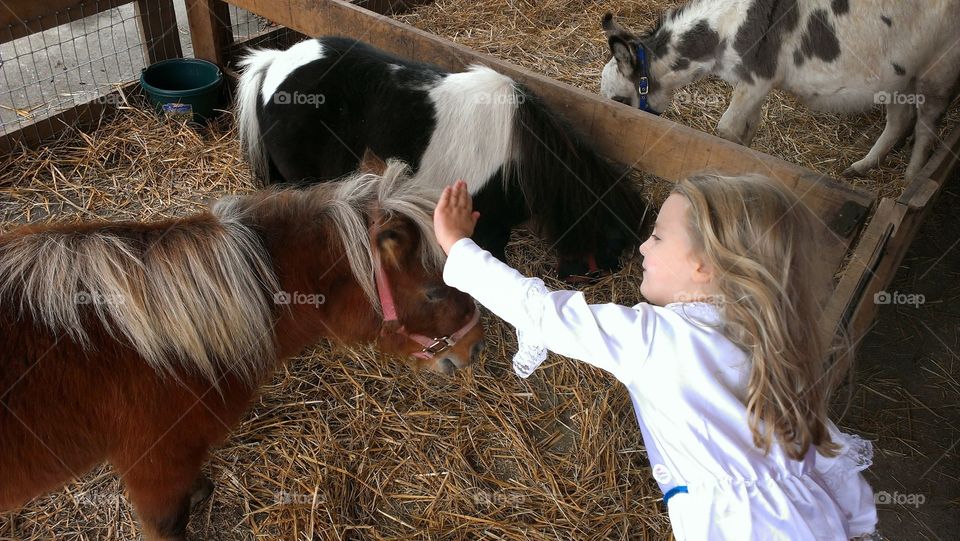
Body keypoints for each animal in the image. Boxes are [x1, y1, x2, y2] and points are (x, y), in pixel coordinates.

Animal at [600, 1, 960, 181]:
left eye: (619, 99)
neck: (726, 27)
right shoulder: (753, 86)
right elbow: (745, 129)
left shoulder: (757, 78)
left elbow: (726, 129)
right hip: (899, 78)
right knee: (900, 120)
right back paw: (861, 167)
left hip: (938, 73)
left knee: (926, 127)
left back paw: (910, 181)